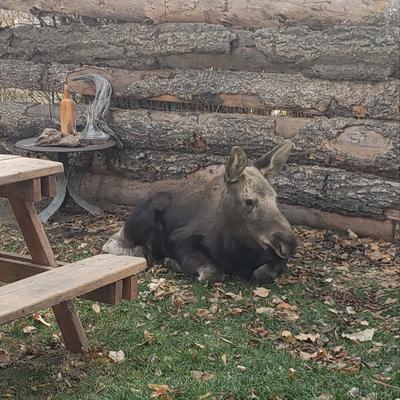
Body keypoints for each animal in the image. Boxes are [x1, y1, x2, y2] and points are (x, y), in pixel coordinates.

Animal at [103, 141, 296, 284]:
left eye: (275, 197)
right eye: (249, 201)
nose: (290, 243)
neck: (237, 251)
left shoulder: (274, 255)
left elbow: (263, 273)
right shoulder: (180, 240)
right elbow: (213, 273)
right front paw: (171, 262)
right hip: (141, 223)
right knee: (112, 243)